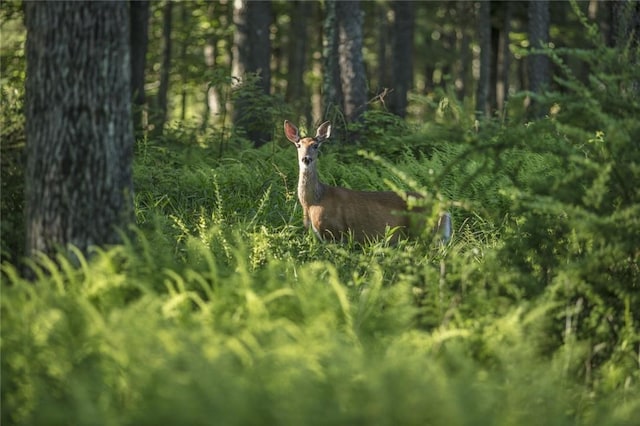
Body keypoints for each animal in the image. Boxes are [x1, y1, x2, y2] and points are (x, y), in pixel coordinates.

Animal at [282, 120, 452, 245]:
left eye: (316, 145)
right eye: (299, 145)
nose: (306, 159)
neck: (313, 202)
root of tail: (445, 211)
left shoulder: (335, 232)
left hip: (427, 232)